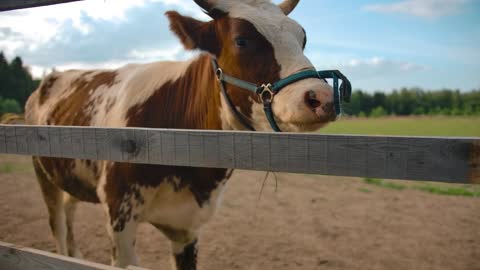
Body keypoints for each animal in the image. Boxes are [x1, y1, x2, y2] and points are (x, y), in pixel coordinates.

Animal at [24, 1, 336, 268]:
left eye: (302, 39)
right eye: (241, 40)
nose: (322, 97)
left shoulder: (187, 228)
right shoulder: (119, 218)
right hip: (42, 173)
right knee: (58, 225)